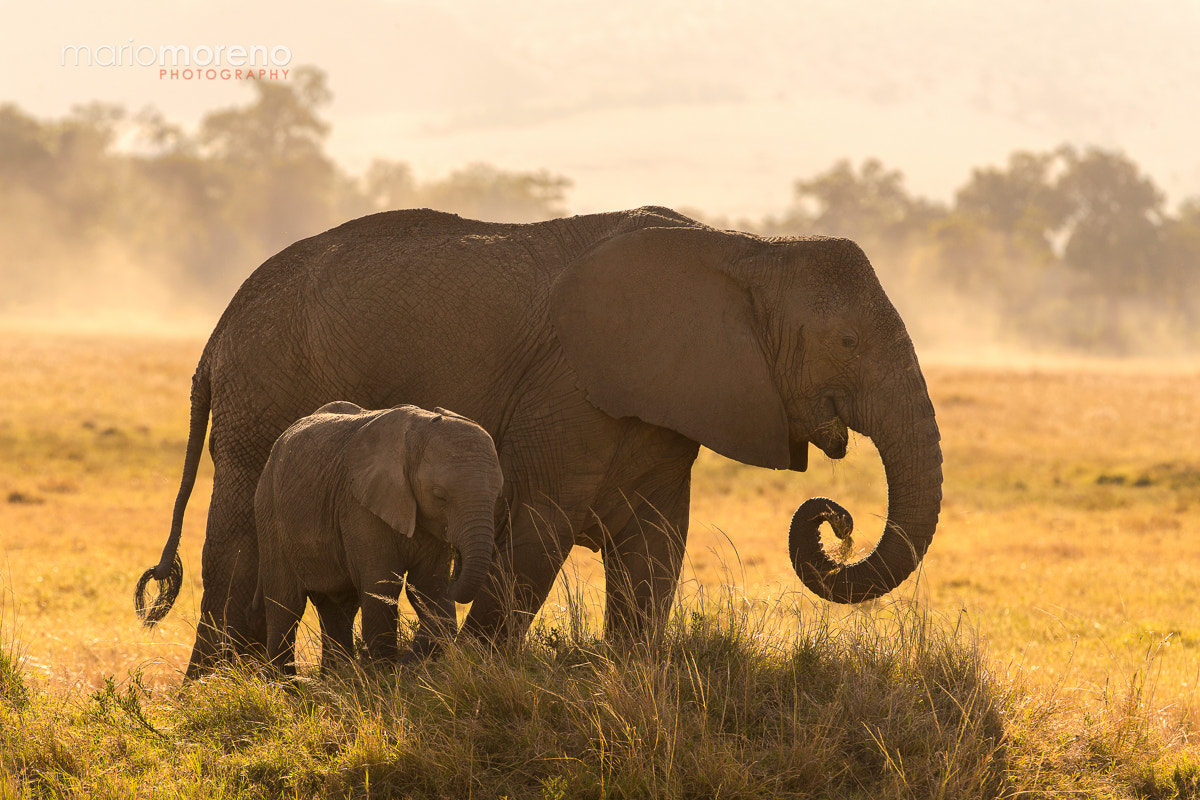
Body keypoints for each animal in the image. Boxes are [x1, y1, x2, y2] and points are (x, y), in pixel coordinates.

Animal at [255, 402, 504, 671]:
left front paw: (399, 670)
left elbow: (430, 587)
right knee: (286, 605)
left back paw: (337, 677)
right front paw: (384, 674)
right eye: (440, 496)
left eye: (497, 494)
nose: (456, 572)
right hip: (269, 511)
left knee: (338, 606)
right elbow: (382, 585)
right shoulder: (358, 505)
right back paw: (286, 681)